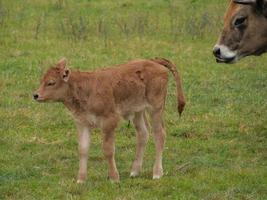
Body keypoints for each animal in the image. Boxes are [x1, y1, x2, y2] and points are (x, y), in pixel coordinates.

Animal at [33, 57, 186, 183]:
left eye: (51, 82)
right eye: (41, 80)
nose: (35, 95)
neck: (86, 88)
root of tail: (154, 62)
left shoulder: (109, 121)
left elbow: (108, 149)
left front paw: (114, 178)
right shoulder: (82, 123)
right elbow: (83, 149)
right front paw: (81, 179)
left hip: (155, 108)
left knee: (159, 135)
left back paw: (157, 173)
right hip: (138, 111)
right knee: (143, 134)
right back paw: (134, 171)